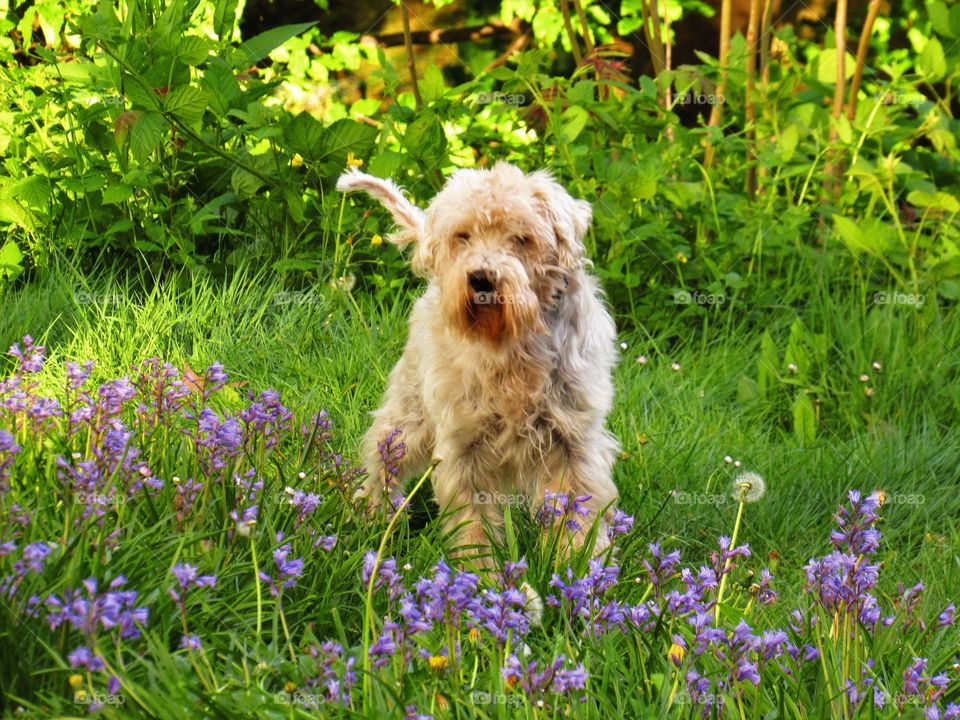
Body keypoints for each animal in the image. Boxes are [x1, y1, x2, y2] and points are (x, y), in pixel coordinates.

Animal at [340, 160, 624, 560]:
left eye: (521, 237)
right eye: (464, 236)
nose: (481, 278)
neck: (510, 346)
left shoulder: (574, 441)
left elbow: (576, 515)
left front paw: (580, 567)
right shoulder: (464, 445)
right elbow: (473, 527)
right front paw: (479, 572)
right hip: (409, 417)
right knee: (383, 462)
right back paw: (370, 518)